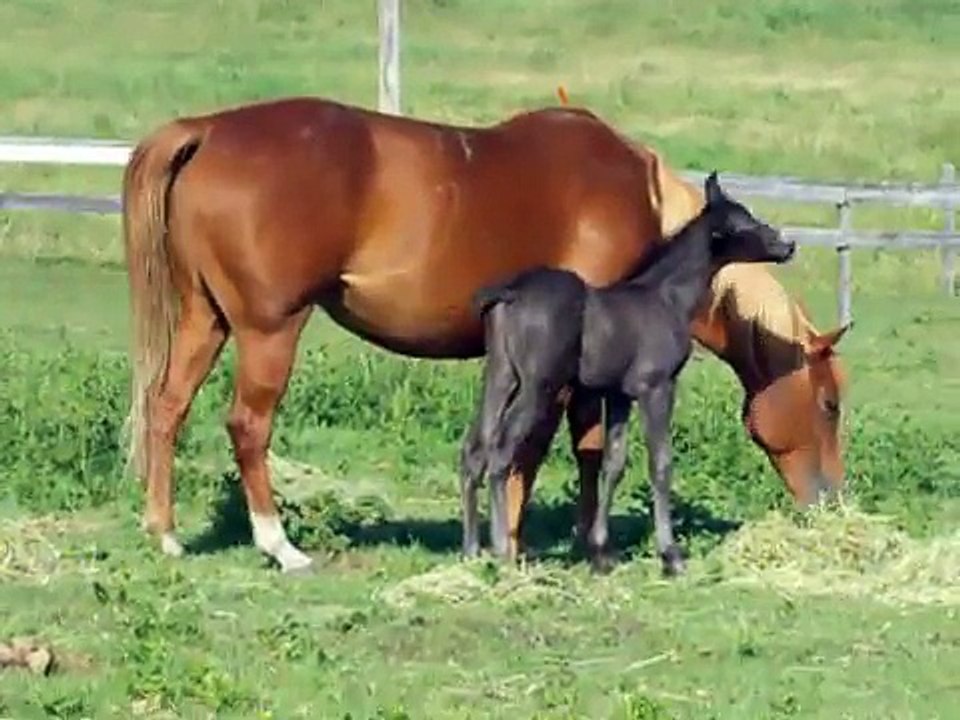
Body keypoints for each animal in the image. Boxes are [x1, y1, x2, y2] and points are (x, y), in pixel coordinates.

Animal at [460, 173, 797, 574]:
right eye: (742, 223)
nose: (787, 245)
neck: (666, 297)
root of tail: (510, 291)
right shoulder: (656, 387)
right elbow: (661, 464)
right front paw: (671, 555)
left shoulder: (618, 394)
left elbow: (613, 465)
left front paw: (602, 551)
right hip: (538, 386)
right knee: (500, 451)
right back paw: (500, 550)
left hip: (500, 376)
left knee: (474, 449)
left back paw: (471, 550)